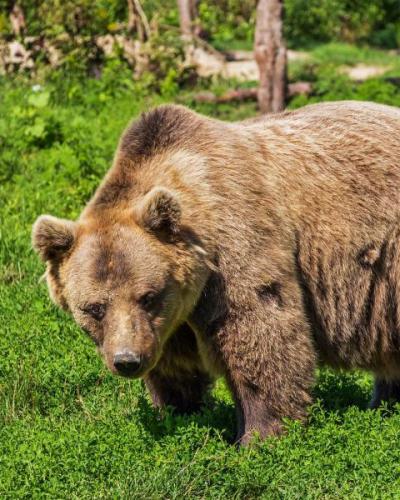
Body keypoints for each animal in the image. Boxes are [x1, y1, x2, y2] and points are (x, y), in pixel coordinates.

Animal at [32, 99, 400, 444]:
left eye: (147, 297)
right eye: (94, 308)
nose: (127, 360)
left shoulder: (236, 248)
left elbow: (260, 334)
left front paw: (259, 436)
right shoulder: (173, 319)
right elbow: (175, 366)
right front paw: (178, 412)